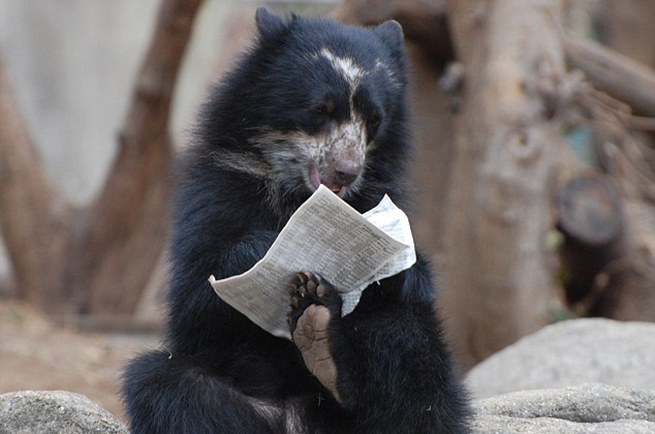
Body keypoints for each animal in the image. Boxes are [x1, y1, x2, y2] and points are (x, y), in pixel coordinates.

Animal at [123, 8, 470, 434]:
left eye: (374, 119)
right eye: (320, 110)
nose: (346, 171)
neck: (298, 194)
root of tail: (294, 419)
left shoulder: (379, 195)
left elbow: (412, 280)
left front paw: (399, 266)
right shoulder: (216, 186)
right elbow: (194, 292)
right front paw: (271, 249)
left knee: (414, 349)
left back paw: (323, 342)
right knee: (167, 384)